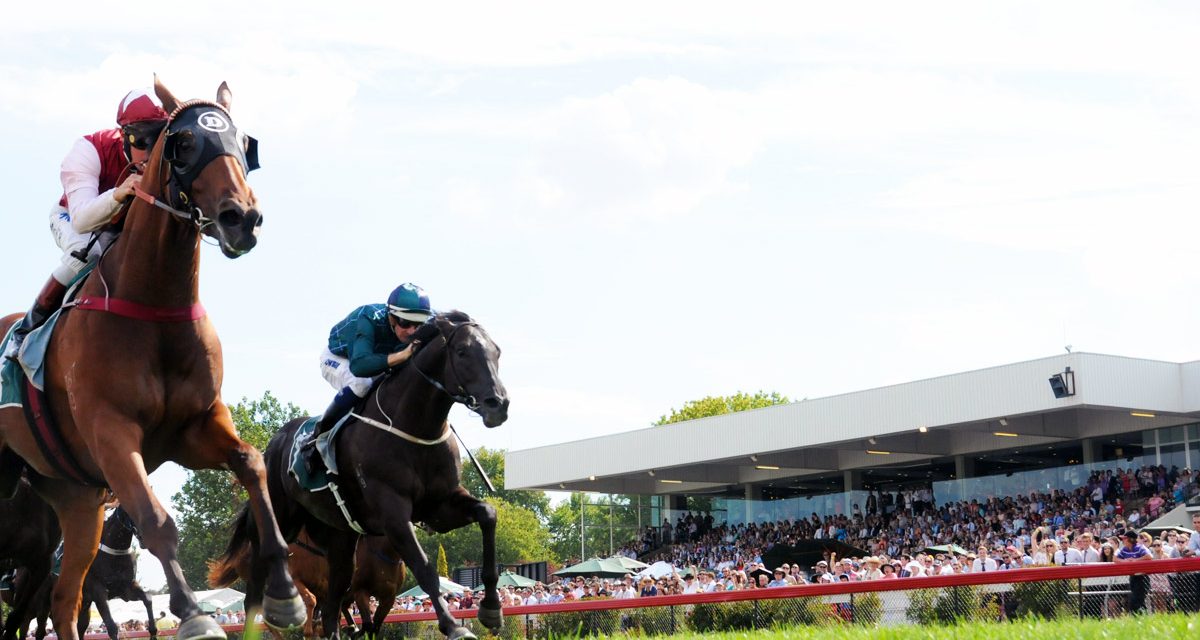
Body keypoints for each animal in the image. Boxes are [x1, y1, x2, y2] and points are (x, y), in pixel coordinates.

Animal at [0, 78, 304, 638]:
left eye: (242, 142)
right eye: (183, 142)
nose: (242, 218)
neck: (154, 302)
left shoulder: (193, 427)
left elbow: (252, 464)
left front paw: (284, 593)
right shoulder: (111, 432)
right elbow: (156, 519)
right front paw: (193, 613)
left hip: (75, 500)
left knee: (64, 599)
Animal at [208, 528, 405, 638]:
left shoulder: (388, 597)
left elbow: (371, 625)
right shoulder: (359, 590)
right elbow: (312, 602)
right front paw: (310, 630)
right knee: (254, 607)